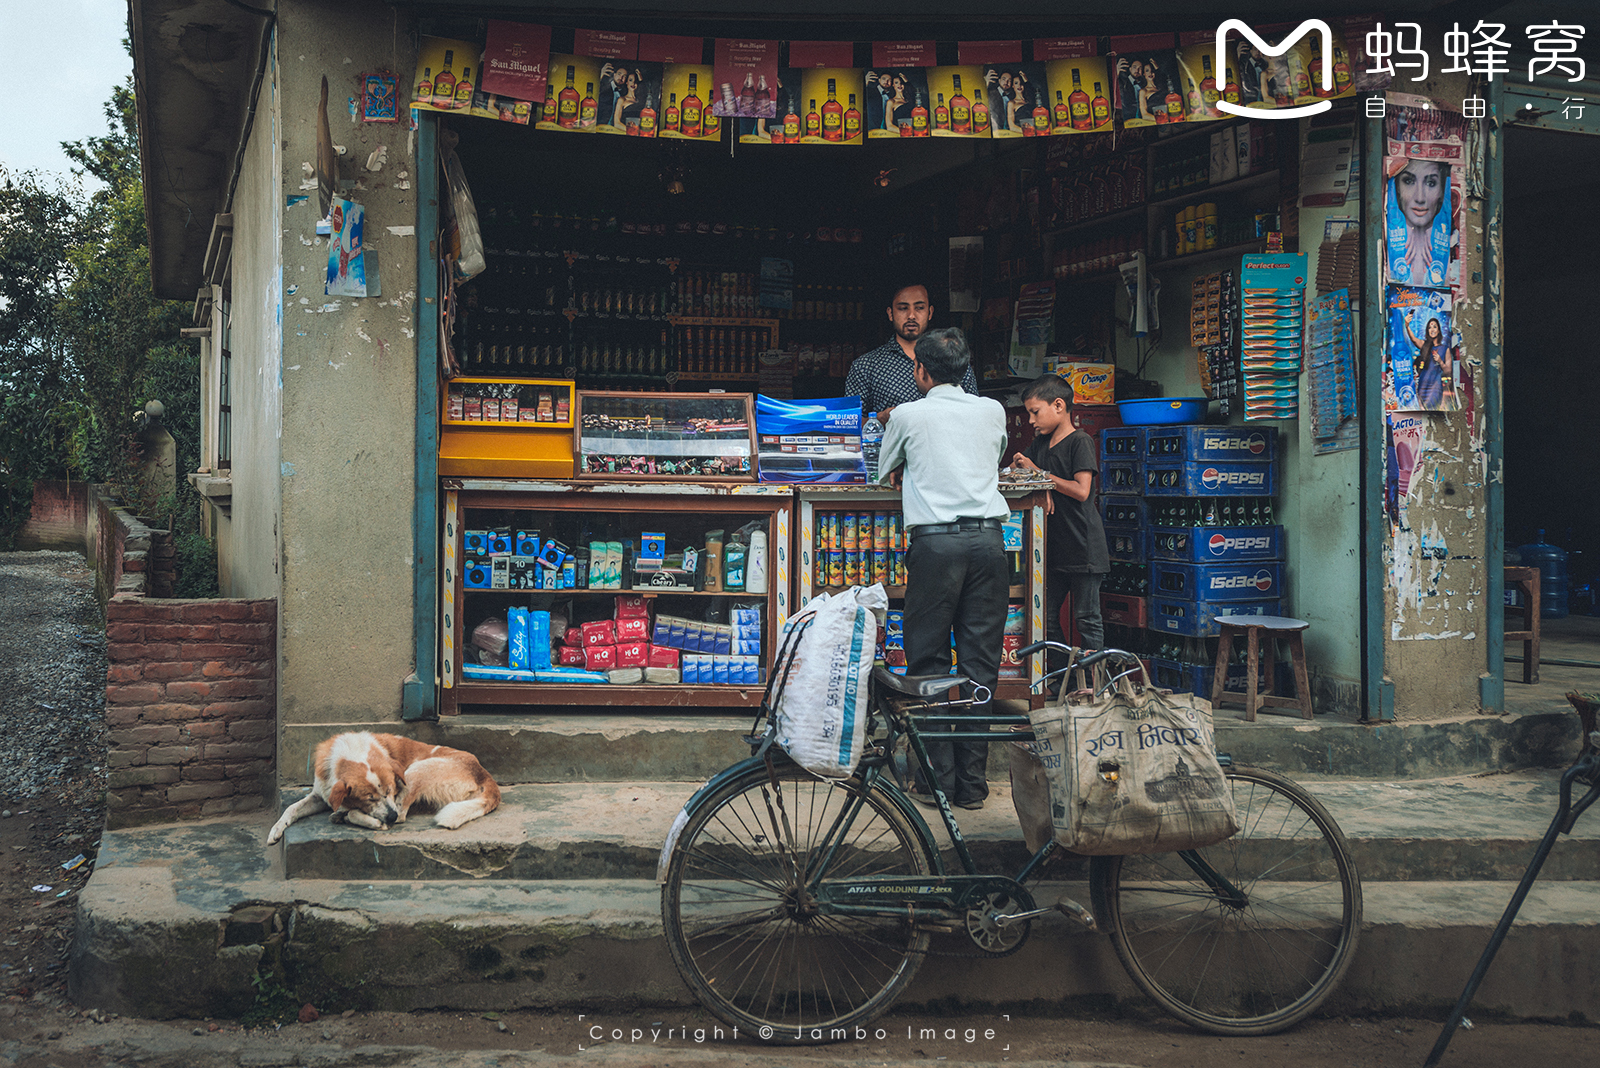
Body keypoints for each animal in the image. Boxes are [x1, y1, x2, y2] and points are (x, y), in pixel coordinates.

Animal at [267, 729, 499, 844]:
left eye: (391, 791)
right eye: (369, 798)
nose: (391, 817)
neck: (350, 753)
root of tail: (484, 773)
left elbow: (355, 811)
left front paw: (365, 819)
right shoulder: (321, 793)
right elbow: (291, 808)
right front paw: (276, 829)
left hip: (415, 770)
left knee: (402, 813)